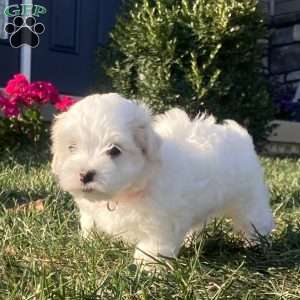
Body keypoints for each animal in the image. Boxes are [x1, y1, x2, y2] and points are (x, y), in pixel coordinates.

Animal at [51, 93, 274, 264]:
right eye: (71, 147)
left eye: (114, 150)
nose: (84, 174)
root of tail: (238, 134)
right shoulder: (90, 211)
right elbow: (90, 223)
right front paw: (88, 242)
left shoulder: (160, 221)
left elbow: (153, 244)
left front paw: (147, 267)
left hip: (248, 198)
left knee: (255, 218)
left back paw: (257, 242)